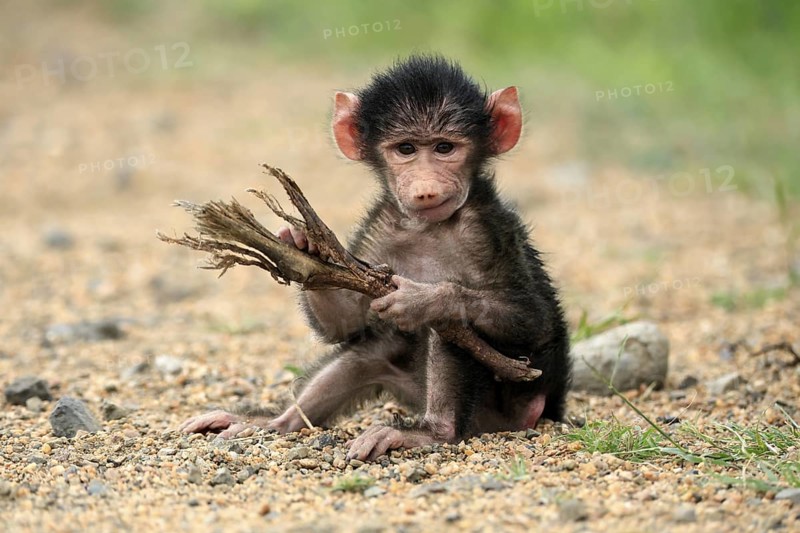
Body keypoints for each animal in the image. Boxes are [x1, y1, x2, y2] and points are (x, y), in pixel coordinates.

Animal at [180, 55, 571, 461]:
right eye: (406, 149)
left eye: (445, 147)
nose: (426, 189)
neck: (426, 227)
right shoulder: (379, 228)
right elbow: (347, 323)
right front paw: (305, 249)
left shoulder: (490, 230)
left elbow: (534, 321)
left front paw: (425, 298)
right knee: (372, 348)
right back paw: (274, 422)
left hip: (512, 400)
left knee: (450, 332)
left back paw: (430, 433)